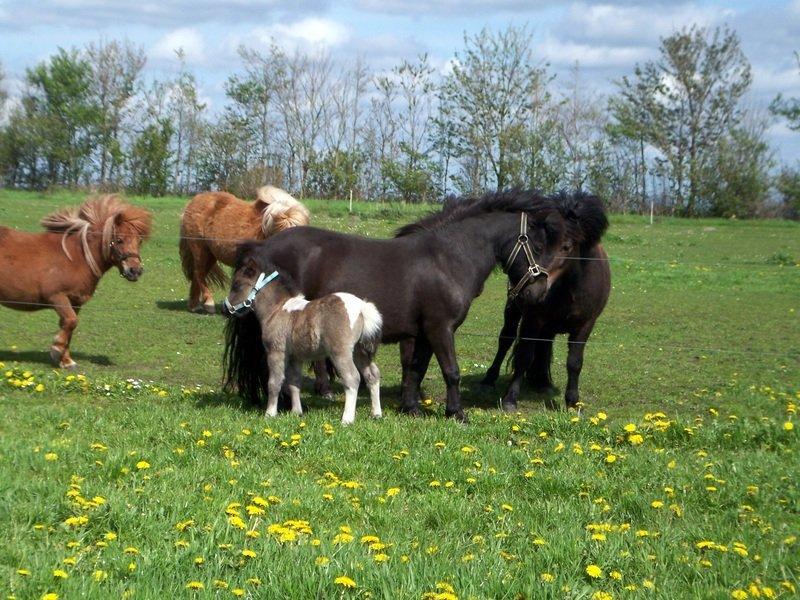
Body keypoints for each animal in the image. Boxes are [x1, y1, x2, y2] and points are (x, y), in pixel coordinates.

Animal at [0, 195, 152, 368]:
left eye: (139, 241)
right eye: (119, 240)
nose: (135, 271)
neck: (76, 257)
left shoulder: (75, 302)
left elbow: (69, 327)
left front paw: (66, 361)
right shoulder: (57, 297)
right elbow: (71, 322)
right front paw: (56, 350)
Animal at [180, 185, 310, 312]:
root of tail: (193, 202)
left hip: (210, 255)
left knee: (197, 276)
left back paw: (193, 305)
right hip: (200, 250)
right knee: (199, 274)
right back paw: (208, 303)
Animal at [223, 253, 382, 426]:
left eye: (237, 285)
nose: (225, 308)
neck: (277, 309)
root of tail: (362, 307)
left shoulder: (276, 352)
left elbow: (274, 382)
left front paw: (269, 414)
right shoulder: (296, 357)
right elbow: (294, 383)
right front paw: (296, 412)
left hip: (340, 352)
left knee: (352, 378)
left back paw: (347, 419)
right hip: (360, 351)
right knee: (372, 375)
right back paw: (376, 414)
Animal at [482, 192, 612, 412]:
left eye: (566, 247)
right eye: (538, 247)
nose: (531, 291)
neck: (569, 289)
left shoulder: (585, 325)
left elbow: (575, 362)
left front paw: (573, 402)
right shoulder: (533, 319)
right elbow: (524, 356)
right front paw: (510, 399)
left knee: (544, 345)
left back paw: (543, 383)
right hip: (513, 311)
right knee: (506, 339)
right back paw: (489, 379)